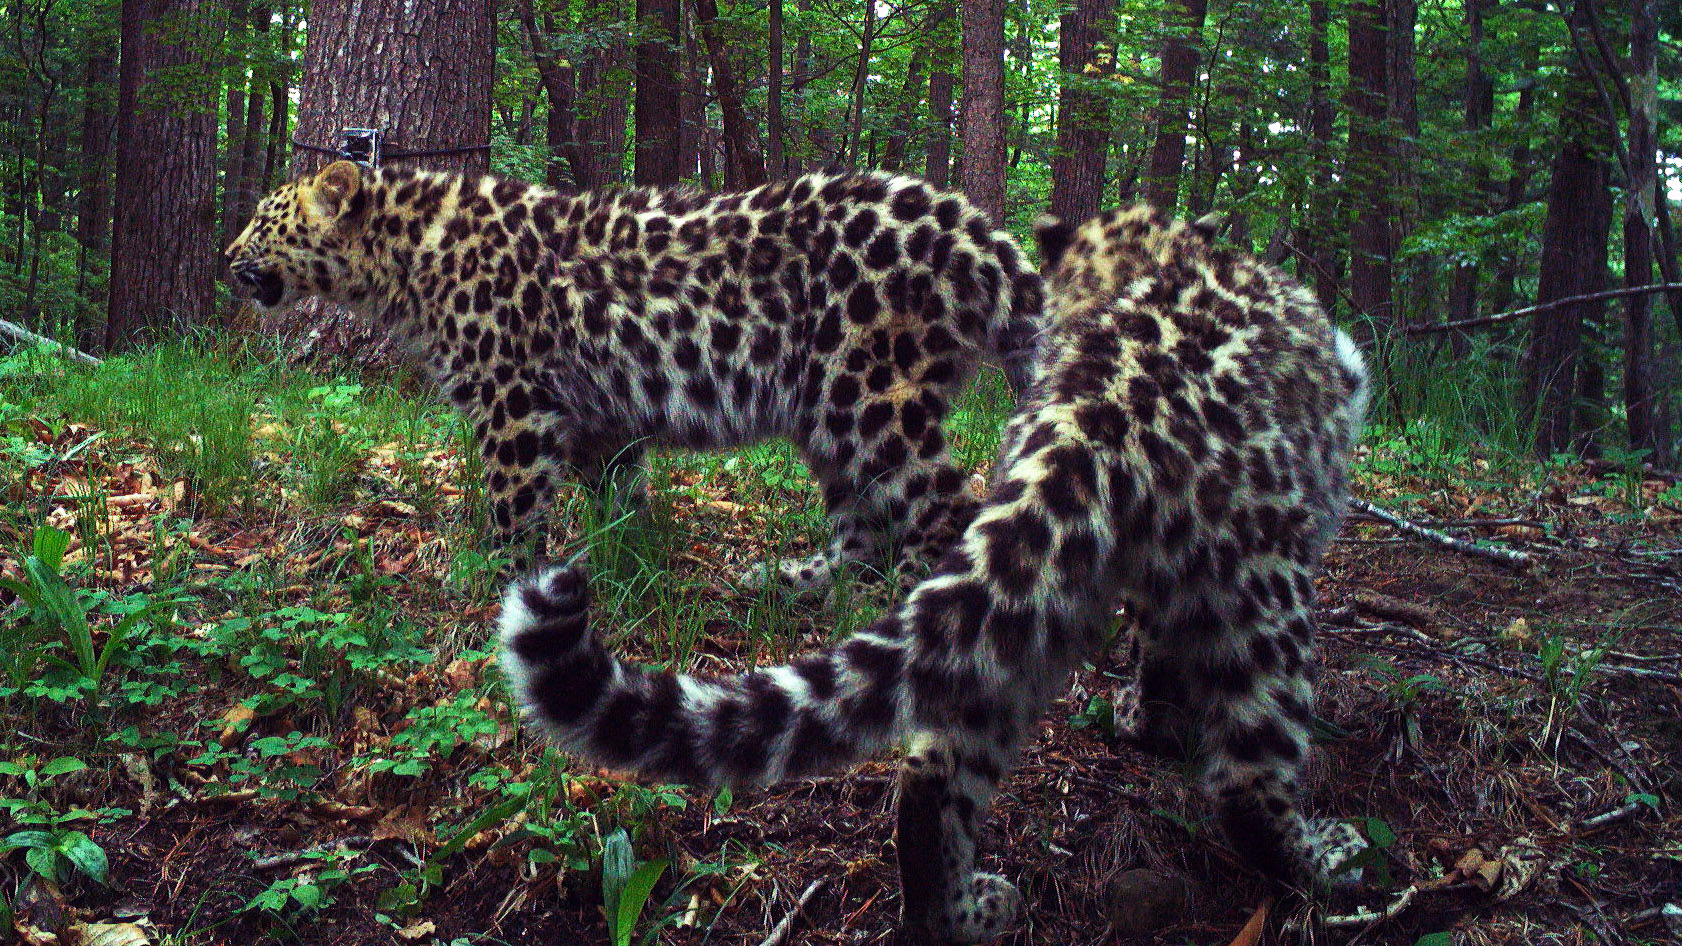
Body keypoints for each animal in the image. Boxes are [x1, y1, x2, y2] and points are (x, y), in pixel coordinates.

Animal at [223, 163, 1036, 589]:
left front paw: (498, 578)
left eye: (262, 220)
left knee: (946, 507)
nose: (225, 254)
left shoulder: (513, 402)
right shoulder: (594, 416)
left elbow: (514, 502)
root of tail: (970, 227)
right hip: (829, 415)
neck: (407, 256)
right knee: (863, 521)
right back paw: (798, 582)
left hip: (870, 395)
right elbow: (617, 495)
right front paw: (625, 560)